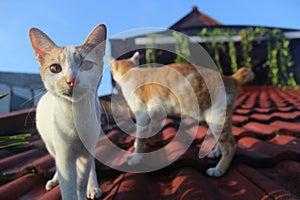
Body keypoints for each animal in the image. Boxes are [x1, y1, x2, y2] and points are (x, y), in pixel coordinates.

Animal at [29, 24, 106, 199]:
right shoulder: (64, 156)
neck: (75, 114)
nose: (72, 80)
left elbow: (81, 182)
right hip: (50, 144)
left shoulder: (86, 151)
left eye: (86, 65)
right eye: (55, 68)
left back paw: (93, 186)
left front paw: (85, 190)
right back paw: (54, 180)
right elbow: (68, 186)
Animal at [108, 52, 253, 177]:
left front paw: (136, 157)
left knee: (230, 146)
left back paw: (219, 170)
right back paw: (216, 152)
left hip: (217, 117)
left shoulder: (143, 115)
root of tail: (231, 78)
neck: (131, 72)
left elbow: (140, 139)